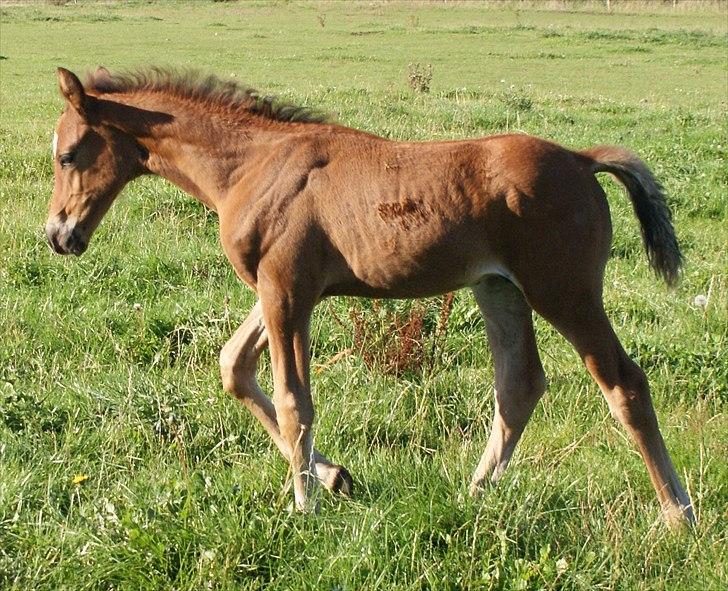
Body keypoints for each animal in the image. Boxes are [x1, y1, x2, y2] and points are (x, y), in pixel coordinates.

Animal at [44, 68, 692, 528]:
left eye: (67, 154)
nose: (58, 235)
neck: (252, 165)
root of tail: (583, 161)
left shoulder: (286, 291)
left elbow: (293, 401)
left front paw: (304, 504)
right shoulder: (280, 289)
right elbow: (234, 367)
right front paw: (334, 478)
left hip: (564, 291)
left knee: (624, 383)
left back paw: (677, 515)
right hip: (499, 289)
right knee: (519, 384)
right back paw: (476, 492)